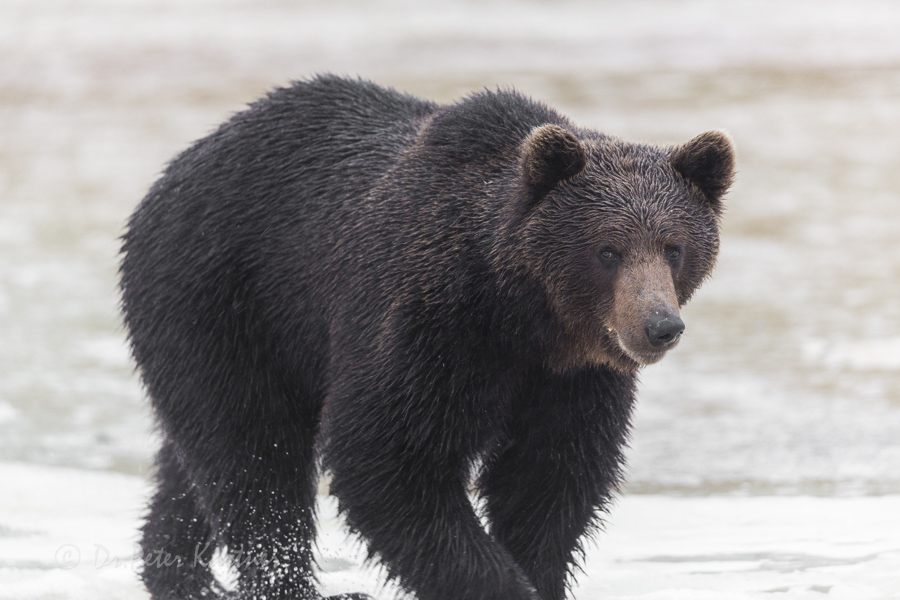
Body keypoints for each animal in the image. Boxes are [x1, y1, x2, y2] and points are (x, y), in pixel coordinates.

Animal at [119, 74, 736, 600]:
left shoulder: (572, 378)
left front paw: (540, 574)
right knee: (253, 453)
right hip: (222, 296)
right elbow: (389, 457)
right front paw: (502, 584)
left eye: (674, 247)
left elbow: (549, 476)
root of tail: (181, 165)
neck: (523, 315)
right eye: (608, 250)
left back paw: (180, 570)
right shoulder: (427, 324)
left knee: (198, 457)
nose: (659, 325)